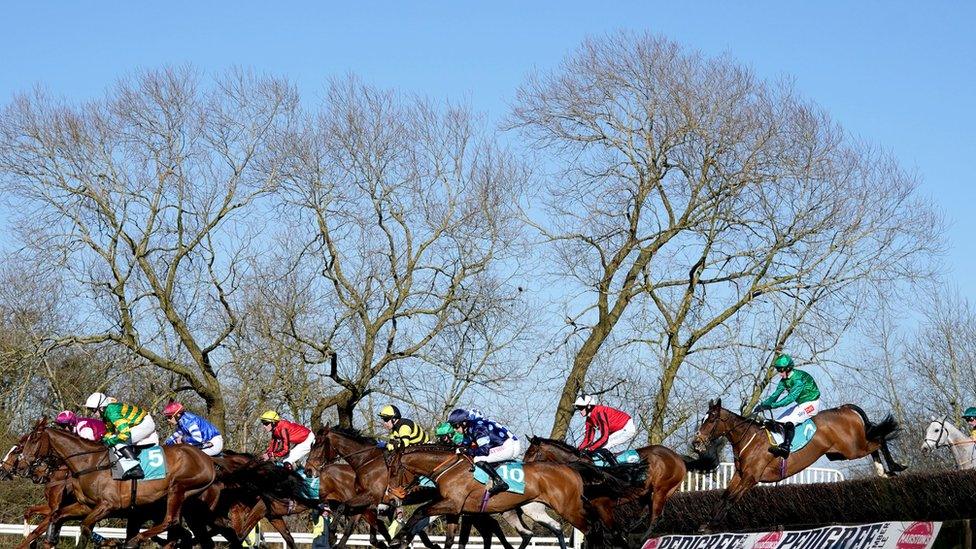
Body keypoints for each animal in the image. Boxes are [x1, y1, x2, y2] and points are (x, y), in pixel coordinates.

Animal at [10, 418, 215, 544]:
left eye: (33, 439)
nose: (22, 467)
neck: (89, 462)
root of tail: (208, 460)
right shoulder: (85, 506)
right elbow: (56, 517)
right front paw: (47, 539)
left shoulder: (108, 505)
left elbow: (84, 528)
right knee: (181, 531)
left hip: (178, 488)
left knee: (170, 521)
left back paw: (134, 541)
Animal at [528, 436, 716, 536]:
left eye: (532, 453)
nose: (525, 468)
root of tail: (679, 458)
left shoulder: (602, 506)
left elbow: (608, 530)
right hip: (646, 493)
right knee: (643, 514)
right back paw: (630, 530)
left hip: (661, 490)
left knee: (655, 517)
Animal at [692, 398, 908, 528]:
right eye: (703, 419)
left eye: (711, 419)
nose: (696, 443)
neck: (748, 439)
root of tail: (845, 408)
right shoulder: (740, 474)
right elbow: (725, 495)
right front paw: (707, 523)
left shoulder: (751, 478)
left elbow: (731, 499)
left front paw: (711, 525)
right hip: (841, 452)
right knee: (875, 442)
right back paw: (883, 472)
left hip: (853, 448)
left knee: (879, 439)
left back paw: (894, 467)